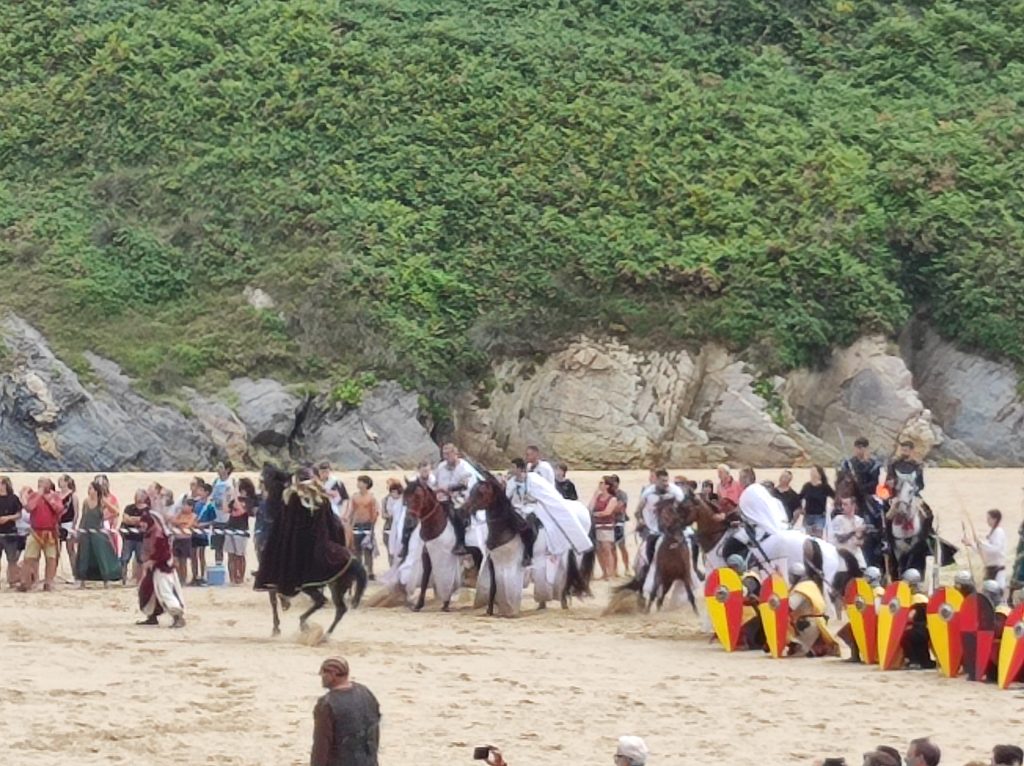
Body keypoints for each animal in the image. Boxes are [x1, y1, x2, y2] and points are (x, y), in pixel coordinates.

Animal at [403, 477, 461, 611]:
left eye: (418, 496)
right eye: (405, 496)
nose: (409, 521)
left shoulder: (445, 557)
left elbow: (446, 579)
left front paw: (446, 604)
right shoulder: (426, 554)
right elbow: (425, 578)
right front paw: (418, 605)